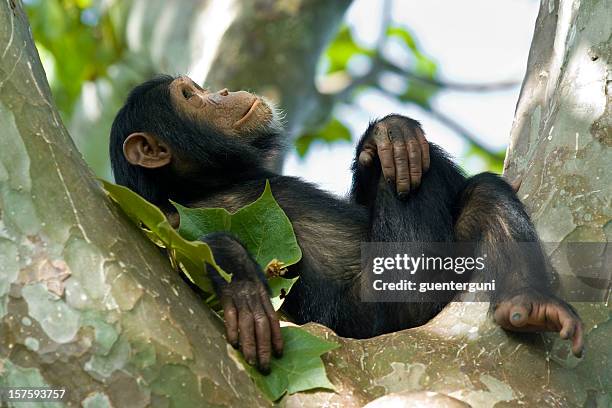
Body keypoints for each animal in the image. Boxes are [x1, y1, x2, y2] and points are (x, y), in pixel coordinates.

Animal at [110, 75, 584, 372]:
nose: (220, 90)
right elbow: (179, 254)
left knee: (480, 193)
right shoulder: (164, 217)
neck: (207, 183)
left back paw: (529, 301)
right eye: (189, 96)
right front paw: (242, 286)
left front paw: (390, 134)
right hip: (396, 299)